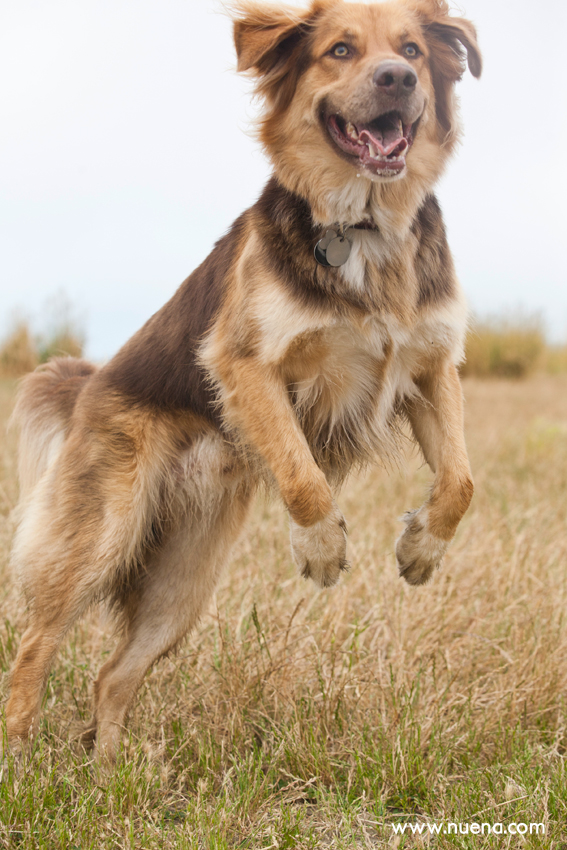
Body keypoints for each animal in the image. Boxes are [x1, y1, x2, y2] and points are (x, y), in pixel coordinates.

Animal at [6, 0, 482, 760]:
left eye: (411, 49)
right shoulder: (244, 363)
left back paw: (109, 768)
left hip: (184, 580)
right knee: (36, 644)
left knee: (113, 675)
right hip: (101, 533)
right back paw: (22, 761)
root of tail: (88, 388)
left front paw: (420, 550)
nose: (397, 79)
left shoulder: (431, 367)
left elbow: (461, 481)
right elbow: (300, 473)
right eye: (340, 49)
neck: (364, 225)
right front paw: (321, 549)